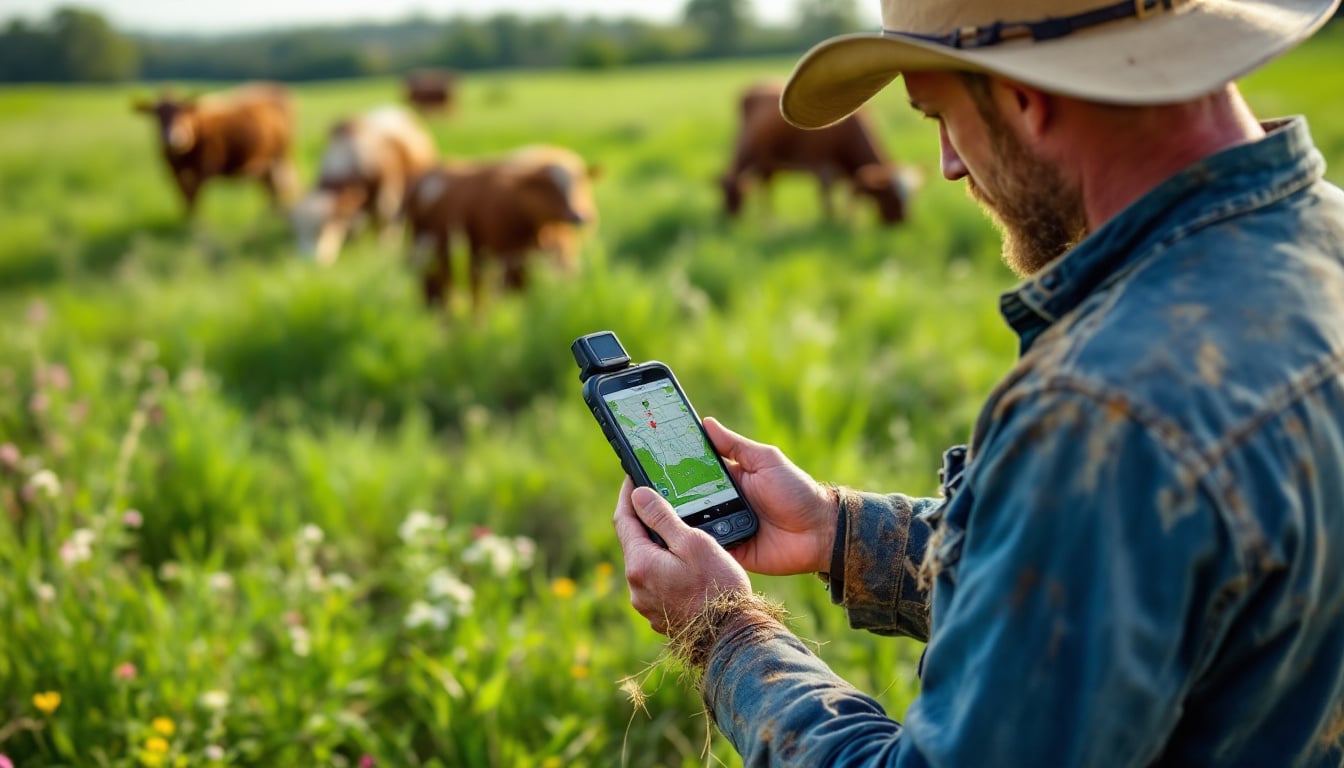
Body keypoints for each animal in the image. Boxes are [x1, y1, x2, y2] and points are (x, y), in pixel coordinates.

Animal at [132, 83, 298, 216]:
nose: (174, 138)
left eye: (184, 111)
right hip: (263, 164)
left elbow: (194, 198)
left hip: (281, 158)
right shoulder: (172, 173)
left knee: (279, 187)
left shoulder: (204, 171)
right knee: (269, 188)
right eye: (157, 115)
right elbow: (184, 198)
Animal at [291, 106, 438, 266]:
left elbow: (386, 217)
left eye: (322, 229)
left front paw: (386, 246)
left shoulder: (389, 191)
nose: (308, 262)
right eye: (297, 231)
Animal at [403, 145, 599, 310]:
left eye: (581, 184)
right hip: (429, 252)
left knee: (468, 290)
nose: (580, 217)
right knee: (436, 292)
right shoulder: (510, 258)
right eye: (549, 187)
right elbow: (516, 295)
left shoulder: (561, 256)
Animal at [720, 81, 919, 227]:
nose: (904, 223)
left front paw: (850, 222)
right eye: (891, 196)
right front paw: (829, 224)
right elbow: (827, 201)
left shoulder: (850, 175)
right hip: (757, 156)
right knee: (762, 187)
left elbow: (850, 199)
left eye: (911, 196)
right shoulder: (824, 169)